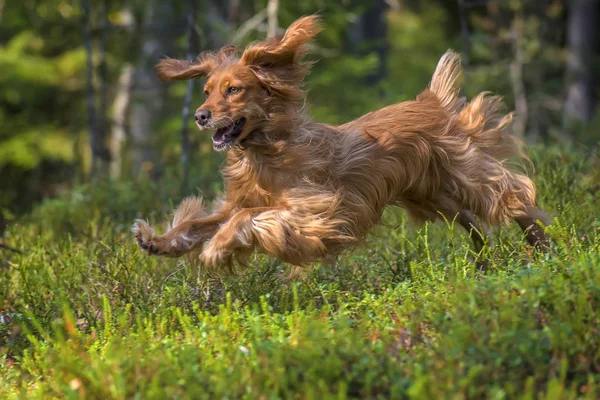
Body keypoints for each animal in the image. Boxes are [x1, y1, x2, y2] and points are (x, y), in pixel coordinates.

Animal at [134, 15, 552, 272]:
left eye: (234, 90)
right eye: (206, 91)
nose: (200, 115)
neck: (266, 151)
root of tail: (432, 101)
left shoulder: (312, 212)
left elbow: (246, 218)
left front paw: (218, 247)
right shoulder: (242, 202)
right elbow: (201, 221)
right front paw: (158, 240)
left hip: (465, 174)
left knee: (515, 194)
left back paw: (543, 247)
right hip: (432, 195)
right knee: (475, 224)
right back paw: (484, 263)